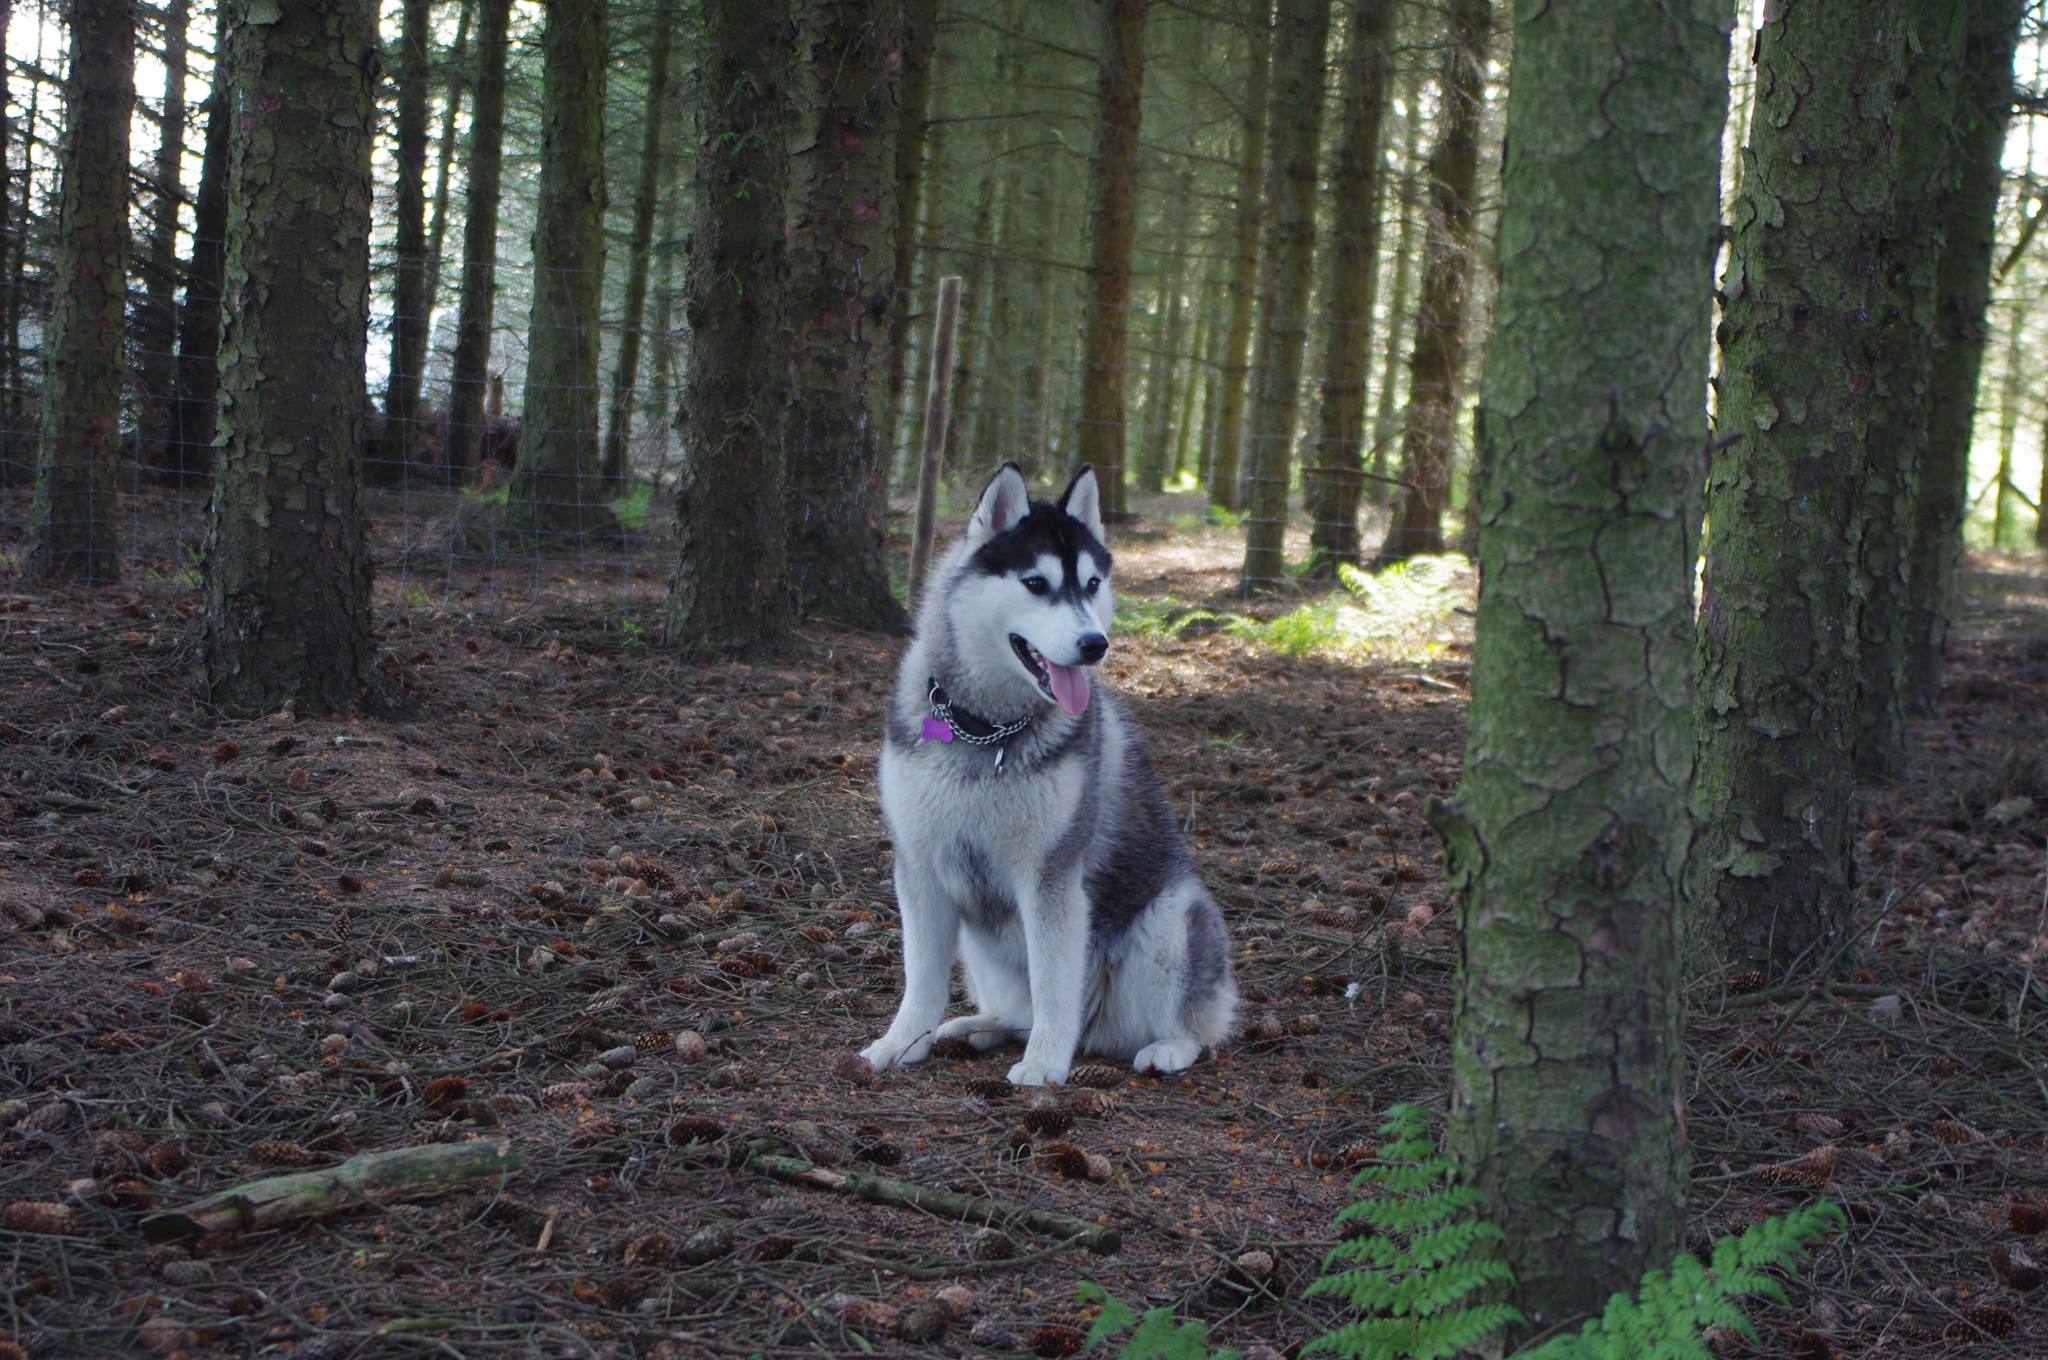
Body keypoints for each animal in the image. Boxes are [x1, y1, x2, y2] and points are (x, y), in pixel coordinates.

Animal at [860, 464, 1236, 1081]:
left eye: (1091, 584)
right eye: (1036, 584)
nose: (1094, 645)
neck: (986, 731)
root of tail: (1098, 1032)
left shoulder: (1051, 875)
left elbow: (1055, 982)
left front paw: (1043, 1065)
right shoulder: (920, 864)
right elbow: (920, 978)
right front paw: (902, 1042)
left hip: (1173, 918)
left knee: (1194, 1026)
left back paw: (1165, 1047)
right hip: (983, 948)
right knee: (1017, 1009)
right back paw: (979, 1026)